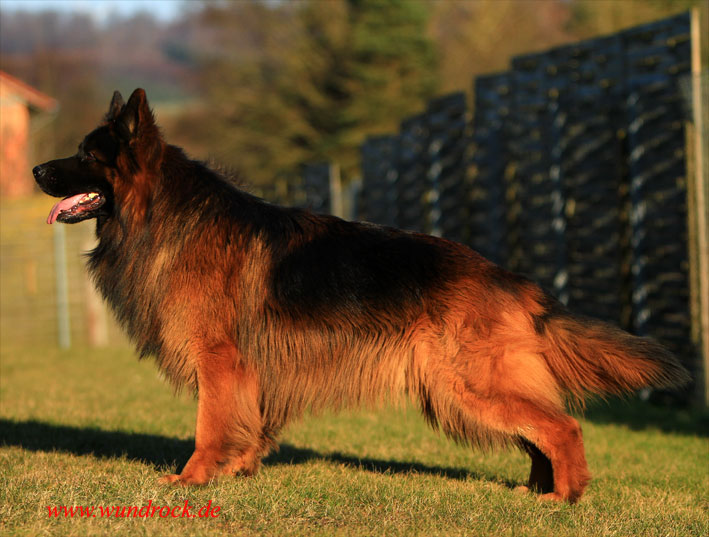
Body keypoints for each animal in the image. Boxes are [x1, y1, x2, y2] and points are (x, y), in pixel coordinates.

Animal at [33, 88, 689, 503]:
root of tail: (510, 279)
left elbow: (209, 427)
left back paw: (565, 499)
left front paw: (191, 482)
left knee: (564, 427)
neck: (163, 215)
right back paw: (540, 491)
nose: (38, 171)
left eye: (87, 155)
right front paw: (240, 472)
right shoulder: (247, 373)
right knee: (541, 433)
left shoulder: (220, 362)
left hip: (467, 386)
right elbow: (245, 423)